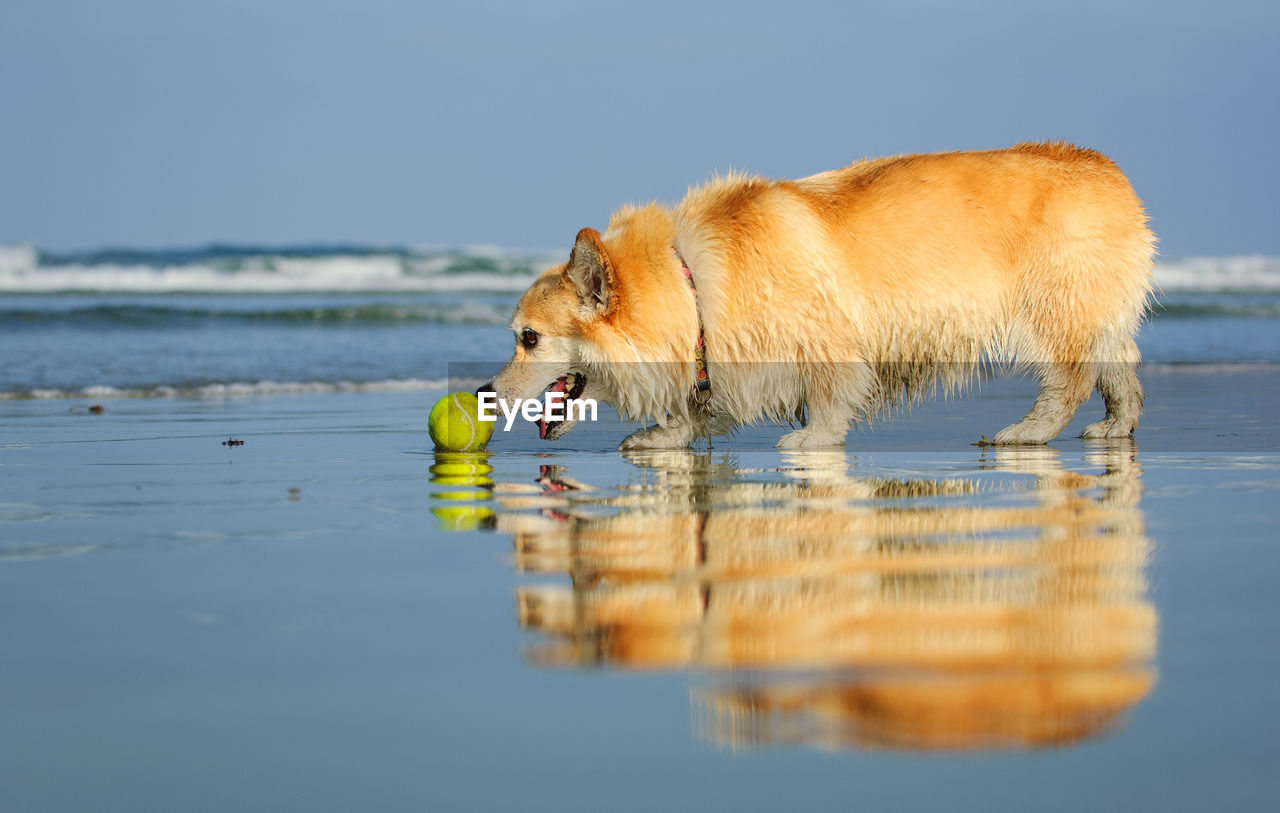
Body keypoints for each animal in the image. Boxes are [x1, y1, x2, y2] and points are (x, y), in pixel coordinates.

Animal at [481, 140, 1162, 448]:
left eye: (529, 339)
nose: (484, 391)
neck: (689, 285)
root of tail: (1113, 173)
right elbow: (704, 405)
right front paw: (664, 435)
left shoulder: (823, 341)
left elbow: (831, 400)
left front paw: (812, 440)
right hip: (1103, 317)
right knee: (1121, 371)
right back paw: (1116, 427)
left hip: (1052, 314)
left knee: (1069, 377)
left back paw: (1025, 432)